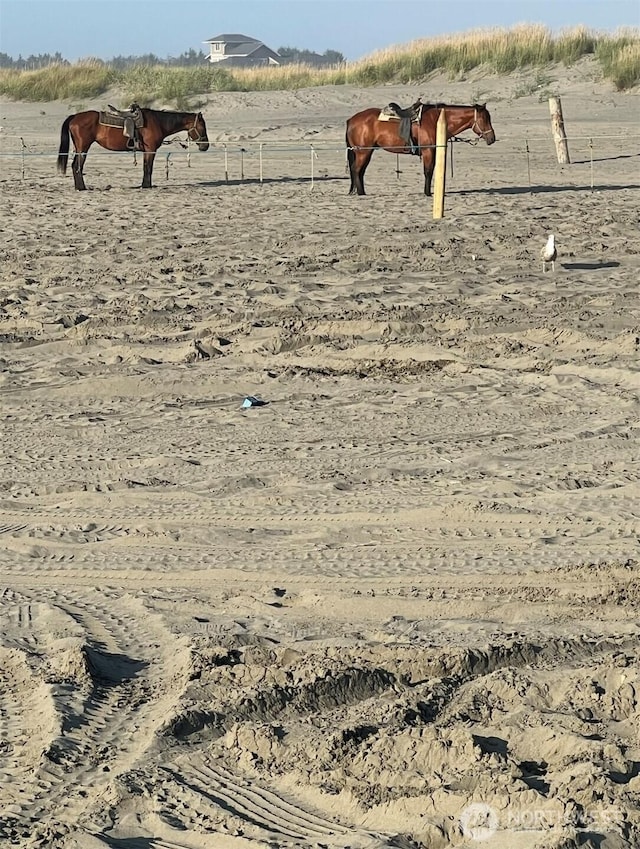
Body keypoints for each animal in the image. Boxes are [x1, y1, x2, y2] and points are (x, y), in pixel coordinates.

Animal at [56, 107, 209, 189]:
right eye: (202, 126)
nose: (205, 146)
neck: (158, 122)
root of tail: (74, 117)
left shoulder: (147, 151)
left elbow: (146, 167)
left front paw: (144, 184)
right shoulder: (150, 150)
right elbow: (148, 168)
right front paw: (147, 185)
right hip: (83, 148)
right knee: (77, 166)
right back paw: (81, 187)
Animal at [344, 102, 496, 196]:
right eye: (484, 119)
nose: (492, 138)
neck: (436, 120)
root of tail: (351, 120)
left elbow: (431, 170)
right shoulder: (428, 150)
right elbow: (428, 171)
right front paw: (427, 193)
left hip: (366, 152)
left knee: (360, 171)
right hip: (363, 152)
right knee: (356, 170)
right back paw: (361, 193)